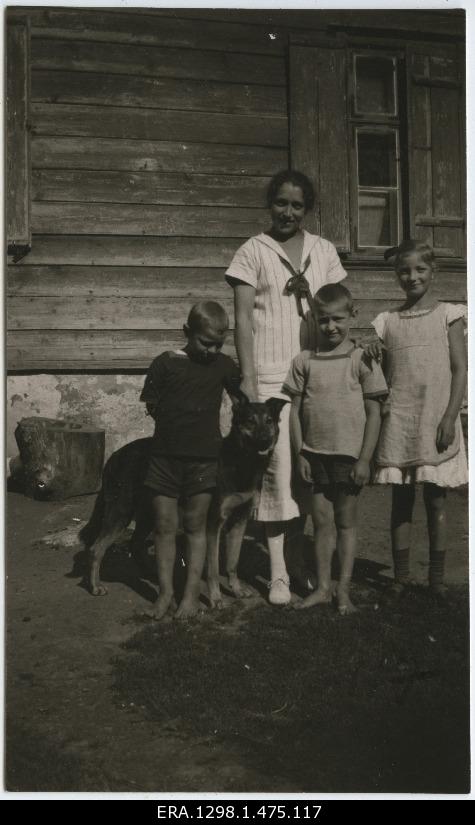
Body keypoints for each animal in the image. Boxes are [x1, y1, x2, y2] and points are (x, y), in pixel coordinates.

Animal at [81, 390, 286, 600]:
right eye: (250, 422)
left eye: (269, 421)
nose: (265, 441)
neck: (240, 460)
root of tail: (115, 455)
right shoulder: (213, 524)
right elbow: (213, 568)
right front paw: (215, 597)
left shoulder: (240, 520)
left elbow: (232, 562)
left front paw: (236, 589)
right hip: (121, 511)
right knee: (96, 549)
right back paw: (95, 586)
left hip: (148, 513)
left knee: (135, 544)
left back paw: (151, 574)